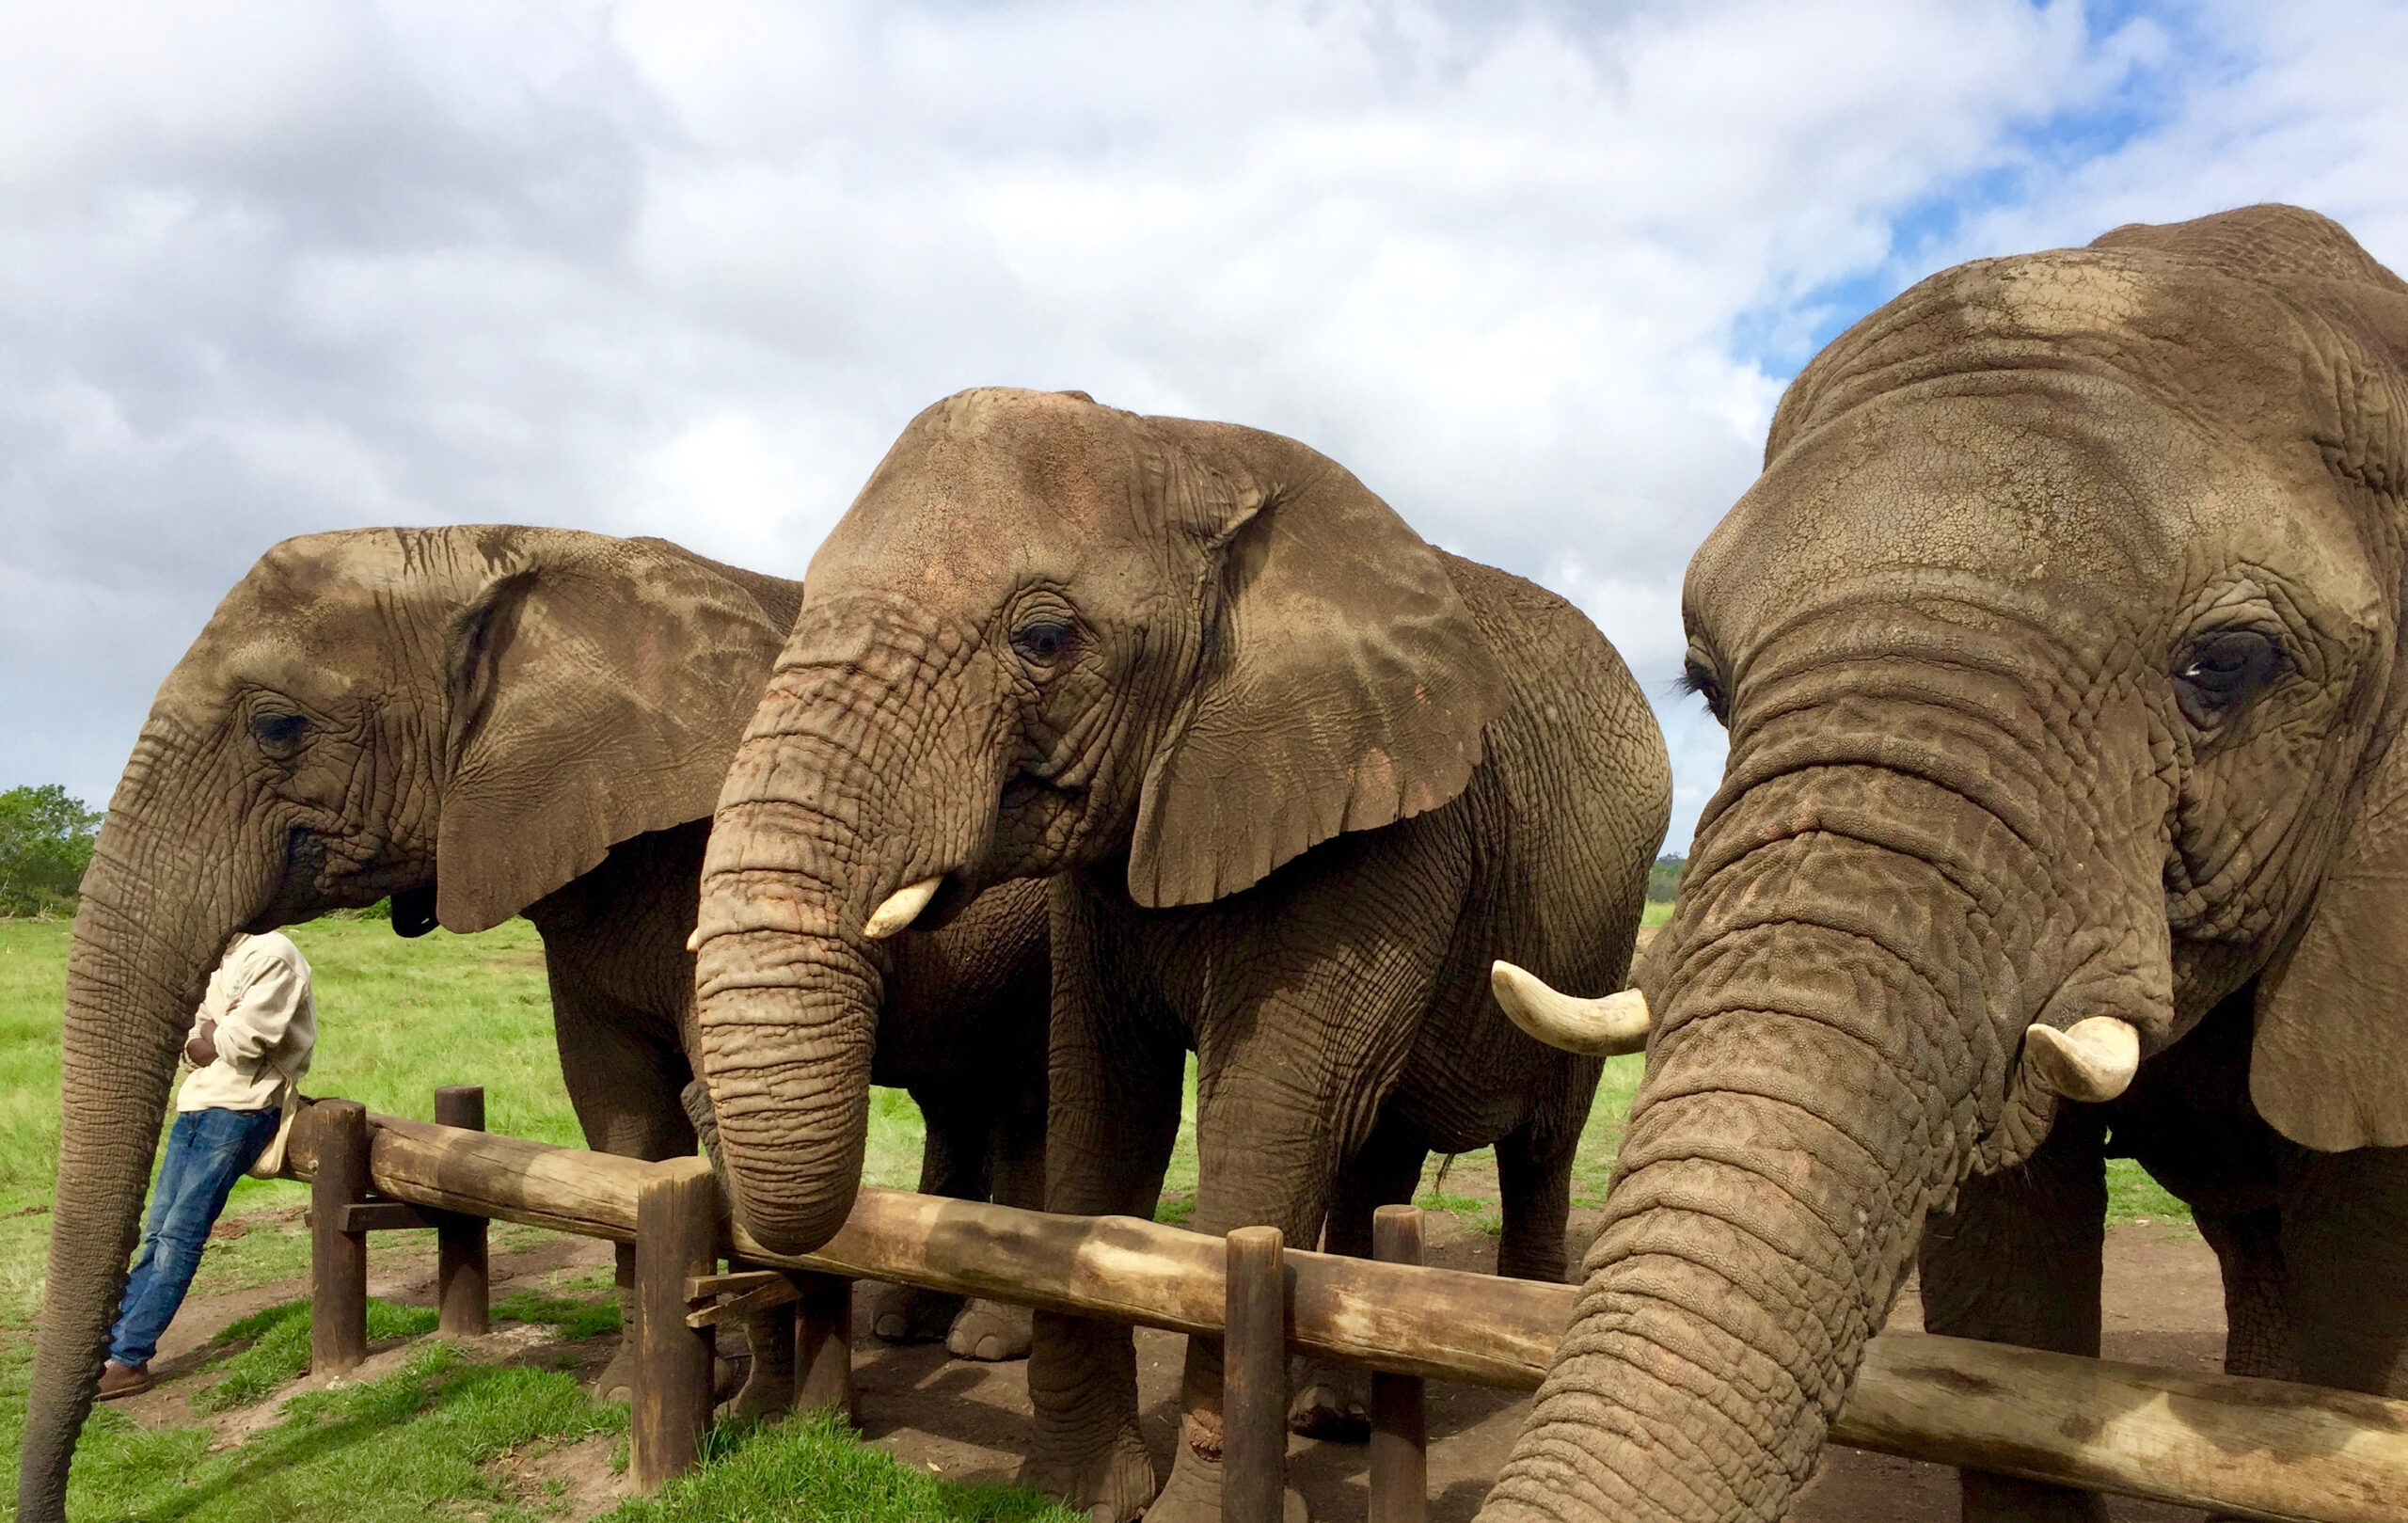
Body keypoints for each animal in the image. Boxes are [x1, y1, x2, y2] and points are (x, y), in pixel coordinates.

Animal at [16, 522, 1054, 1523]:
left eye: (277, 725)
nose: (49, 1504)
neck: (497, 548)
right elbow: (620, 1124)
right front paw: (635, 1392)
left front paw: (750, 1406)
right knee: (959, 1094)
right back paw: (906, 1324)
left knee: (1025, 1102)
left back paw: (987, 1340)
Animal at [684, 389, 1675, 1523]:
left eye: (1043, 635)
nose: (695, 1106)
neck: (1190, 444)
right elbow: (1103, 1103)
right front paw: (1076, 1495)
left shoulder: (1386, 827)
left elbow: (1268, 1117)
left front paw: (1194, 1508)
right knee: (1375, 1145)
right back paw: (1332, 1411)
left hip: (1601, 931)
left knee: (1540, 1141)